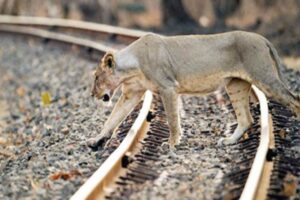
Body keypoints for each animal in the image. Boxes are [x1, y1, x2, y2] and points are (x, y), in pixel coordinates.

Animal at [88, 30, 300, 150]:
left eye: (96, 77)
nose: (92, 95)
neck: (131, 67)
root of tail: (263, 38)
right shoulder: (131, 93)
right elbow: (112, 118)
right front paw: (96, 140)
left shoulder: (168, 87)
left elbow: (172, 119)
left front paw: (171, 144)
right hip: (236, 85)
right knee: (246, 119)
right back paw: (228, 141)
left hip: (264, 78)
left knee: (294, 99)